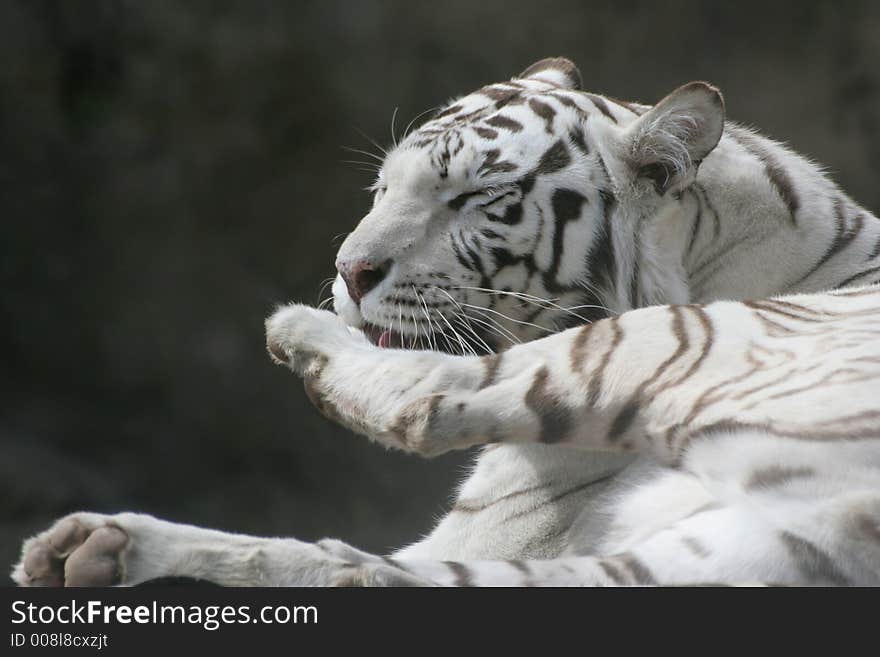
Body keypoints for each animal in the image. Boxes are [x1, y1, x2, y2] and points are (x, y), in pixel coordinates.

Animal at [12, 59, 880, 588]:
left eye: (473, 198)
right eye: (382, 186)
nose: (349, 271)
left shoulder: (506, 518)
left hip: (657, 348)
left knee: (424, 404)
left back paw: (295, 333)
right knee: (365, 568)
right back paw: (91, 547)